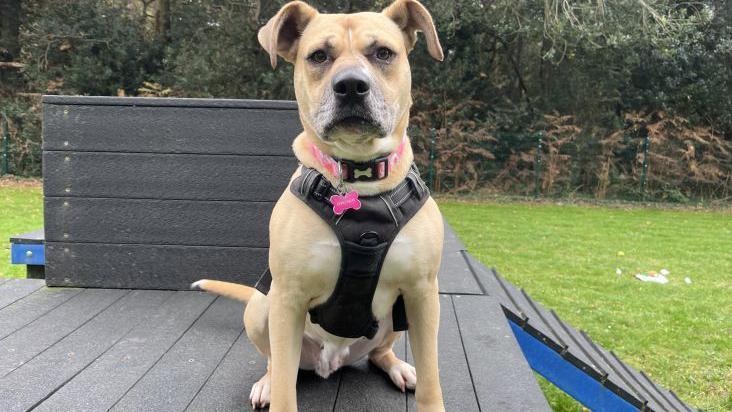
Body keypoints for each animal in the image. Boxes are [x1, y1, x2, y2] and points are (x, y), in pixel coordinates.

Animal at [193, 1, 446, 410]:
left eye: (383, 53)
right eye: (318, 56)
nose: (351, 85)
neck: (360, 177)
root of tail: (333, 360)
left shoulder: (422, 293)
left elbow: (431, 379)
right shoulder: (288, 297)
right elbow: (285, 387)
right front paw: (276, 391)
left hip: (396, 318)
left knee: (380, 352)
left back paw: (397, 367)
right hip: (262, 309)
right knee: (276, 363)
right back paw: (266, 382)